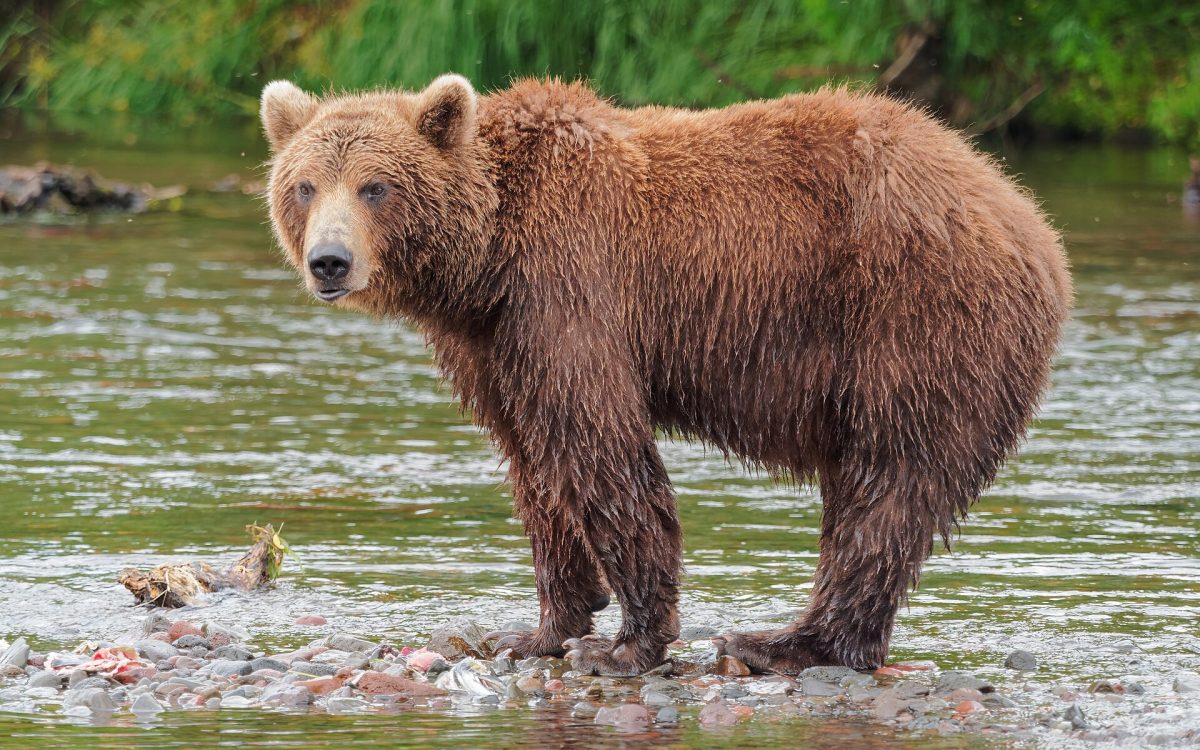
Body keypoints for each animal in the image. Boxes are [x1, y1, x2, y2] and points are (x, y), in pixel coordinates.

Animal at [260, 74, 1071, 676]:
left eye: (375, 186)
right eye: (305, 185)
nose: (329, 261)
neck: (485, 260)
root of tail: (1030, 220)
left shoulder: (569, 288)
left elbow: (600, 448)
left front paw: (625, 643)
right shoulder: (493, 345)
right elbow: (533, 464)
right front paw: (540, 627)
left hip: (915, 322)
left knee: (888, 484)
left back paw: (784, 642)